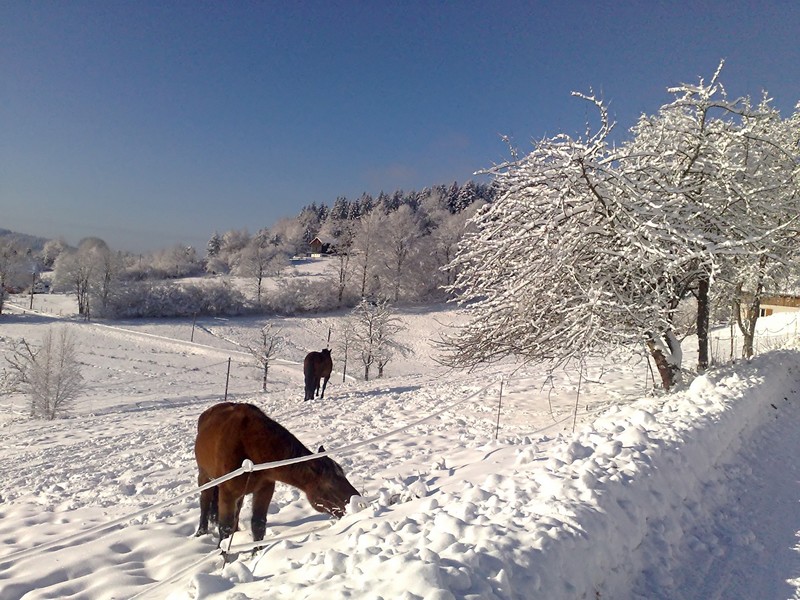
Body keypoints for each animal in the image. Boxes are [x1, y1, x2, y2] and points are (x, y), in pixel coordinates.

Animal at [194, 404, 360, 544]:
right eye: (330, 486)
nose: (358, 503)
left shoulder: (265, 489)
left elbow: (258, 525)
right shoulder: (227, 493)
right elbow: (225, 528)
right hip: (205, 477)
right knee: (205, 501)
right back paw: (201, 532)